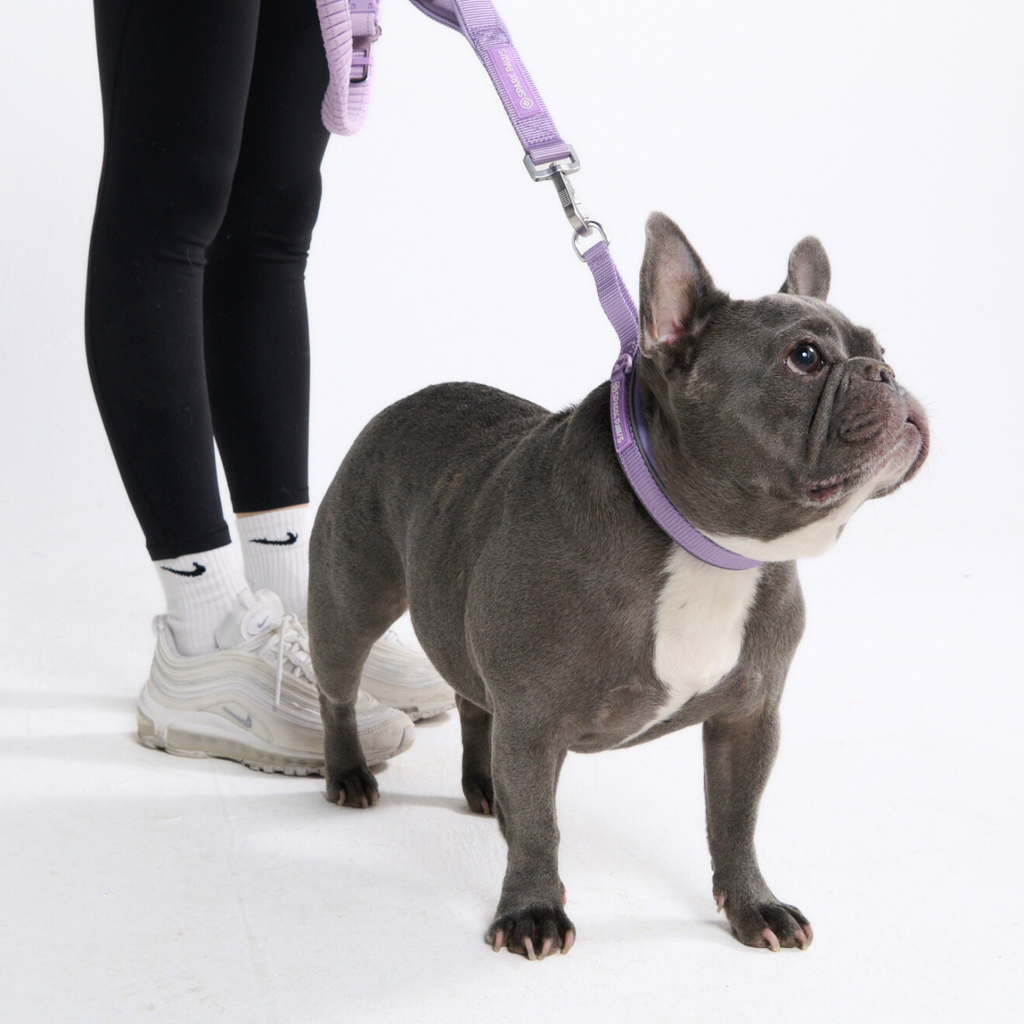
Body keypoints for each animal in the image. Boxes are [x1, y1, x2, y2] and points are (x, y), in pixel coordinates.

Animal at [308, 213, 929, 959]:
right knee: (339, 688)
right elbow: (541, 825)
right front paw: (532, 911)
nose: (887, 373)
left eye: (881, 350)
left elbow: (736, 818)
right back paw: (349, 774)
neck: (711, 549)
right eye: (804, 358)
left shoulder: (748, 717)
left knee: (474, 701)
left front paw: (754, 904)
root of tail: (403, 402)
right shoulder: (535, 721)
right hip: (350, 602)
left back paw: (485, 788)